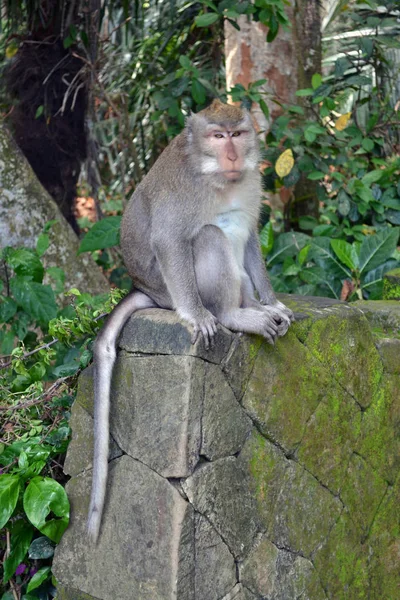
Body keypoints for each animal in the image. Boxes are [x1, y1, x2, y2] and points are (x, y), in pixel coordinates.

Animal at [87, 99, 294, 544]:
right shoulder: (184, 192)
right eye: (217, 136)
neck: (217, 177)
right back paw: (232, 314)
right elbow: (171, 239)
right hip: (172, 288)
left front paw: (274, 301)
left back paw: (257, 308)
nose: (232, 155)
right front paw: (198, 316)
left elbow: (252, 234)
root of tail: (146, 288)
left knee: (234, 233)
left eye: (237, 134)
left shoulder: (252, 183)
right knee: (211, 235)